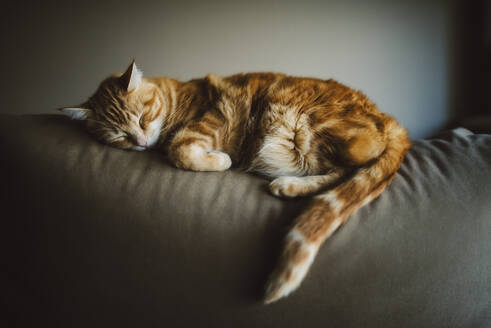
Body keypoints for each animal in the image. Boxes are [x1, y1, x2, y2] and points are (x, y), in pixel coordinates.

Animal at [61, 60, 412, 304]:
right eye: (120, 136)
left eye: (143, 119)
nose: (141, 142)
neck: (175, 98)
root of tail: (391, 121)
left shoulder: (211, 118)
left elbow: (181, 149)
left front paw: (220, 160)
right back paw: (290, 185)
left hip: (300, 119)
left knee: (357, 161)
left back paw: (288, 184)